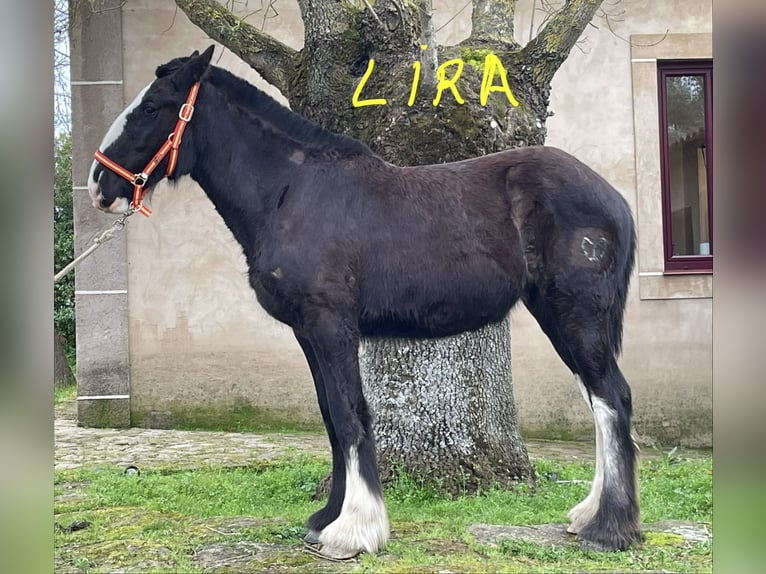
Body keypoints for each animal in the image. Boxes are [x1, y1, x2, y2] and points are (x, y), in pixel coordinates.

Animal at [88, 46, 640, 557]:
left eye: (152, 106)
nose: (99, 186)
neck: (292, 192)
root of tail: (613, 199)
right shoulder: (308, 332)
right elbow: (332, 418)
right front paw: (326, 519)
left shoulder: (332, 325)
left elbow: (350, 413)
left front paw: (354, 530)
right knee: (599, 399)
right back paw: (590, 515)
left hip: (576, 316)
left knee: (611, 398)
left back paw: (608, 528)